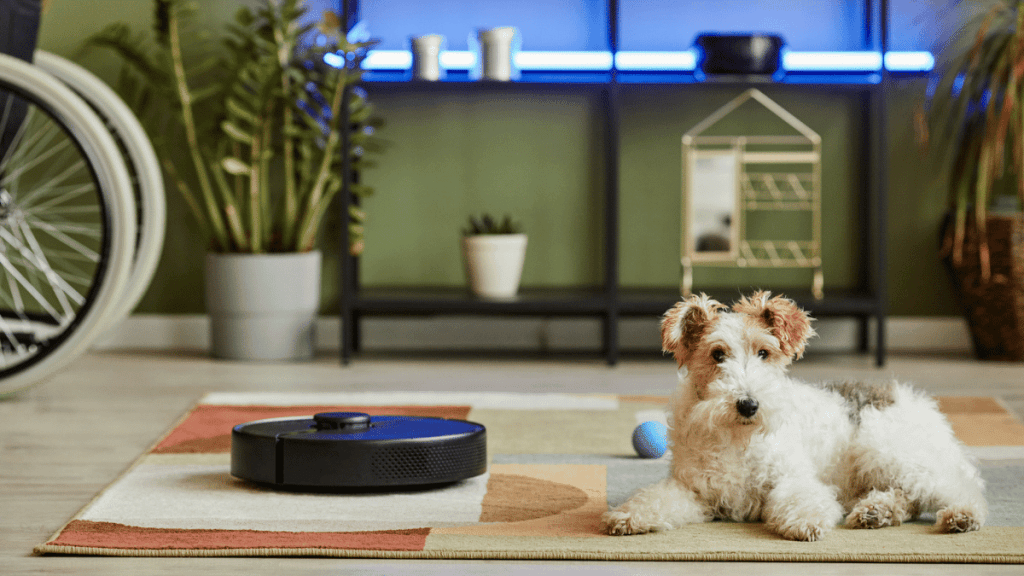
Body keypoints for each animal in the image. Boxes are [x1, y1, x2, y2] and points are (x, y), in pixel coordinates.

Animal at [602, 291, 987, 537]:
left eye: (764, 352)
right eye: (716, 354)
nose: (748, 405)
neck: (737, 439)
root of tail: (916, 400)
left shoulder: (791, 477)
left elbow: (800, 499)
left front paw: (806, 523)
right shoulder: (694, 491)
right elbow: (655, 499)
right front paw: (626, 517)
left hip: (887, 451)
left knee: (958, 486)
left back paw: (962, 516)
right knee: (910, 497)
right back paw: (875, 512)